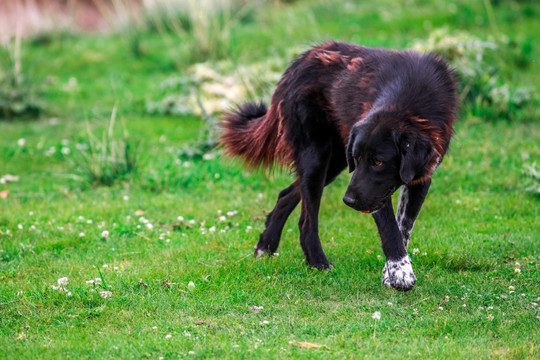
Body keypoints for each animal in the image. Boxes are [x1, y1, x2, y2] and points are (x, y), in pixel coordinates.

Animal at [221, 40, 458, 292]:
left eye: (378, 162)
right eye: (359, 158)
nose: (349, 201)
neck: (408, 101)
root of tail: (297, 63)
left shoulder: (418, 178)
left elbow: (403, 226)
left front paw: (392, 272)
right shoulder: (373, 191)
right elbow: (390, 230)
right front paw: (400, 271)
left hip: (333, 163)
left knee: (286, 194)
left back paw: (266, 246)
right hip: (318, 158)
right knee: (306, 220)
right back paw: (318, 263)